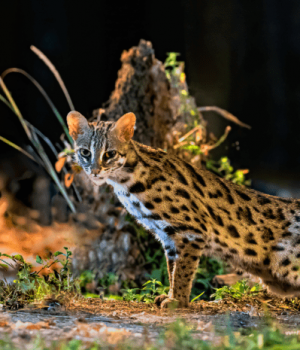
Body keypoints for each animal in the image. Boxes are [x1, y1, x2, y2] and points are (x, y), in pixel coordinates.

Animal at [67, 110, 300, 308]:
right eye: (85, 152)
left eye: (110, 154)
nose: (95, 172)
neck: (125, 182)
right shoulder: (168, 236)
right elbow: (173, 269)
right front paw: (171, 296)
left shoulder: (192, 232)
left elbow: (183, 272)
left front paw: (177, 301)